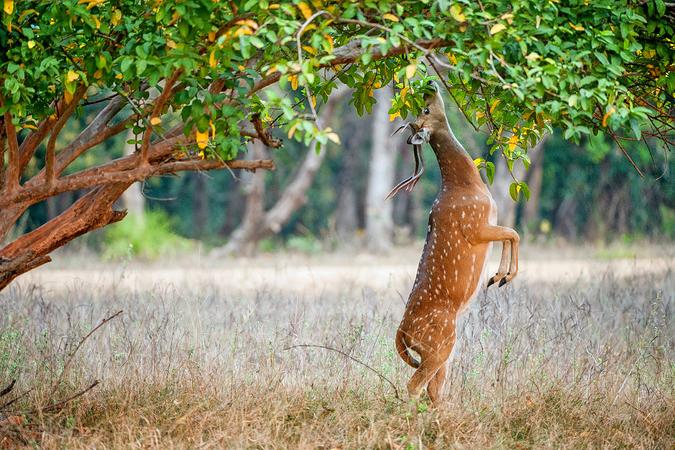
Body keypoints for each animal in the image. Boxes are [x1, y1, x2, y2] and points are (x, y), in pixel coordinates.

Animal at [389, 82, 520, 404]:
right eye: (425, 109)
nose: (429, 83)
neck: (467, 185)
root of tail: (402, 333)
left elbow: (511, 233)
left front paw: (497, 276)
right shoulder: (474, 226)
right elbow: (513, 232)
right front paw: (502, 276)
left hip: (439, 350)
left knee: (434, 390)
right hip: (440, 342)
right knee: (415, 386)